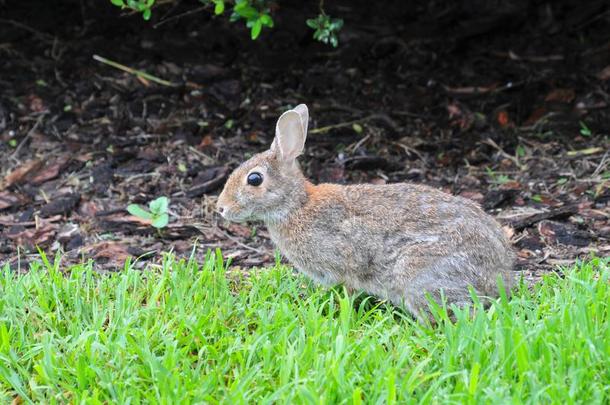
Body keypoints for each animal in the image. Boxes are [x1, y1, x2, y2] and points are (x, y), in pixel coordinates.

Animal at [216, 105, 510, 322]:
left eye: (254, 179)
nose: (221, 207)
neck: (297, 205)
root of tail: (499, 274)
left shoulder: (342, 261)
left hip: (417, 274)